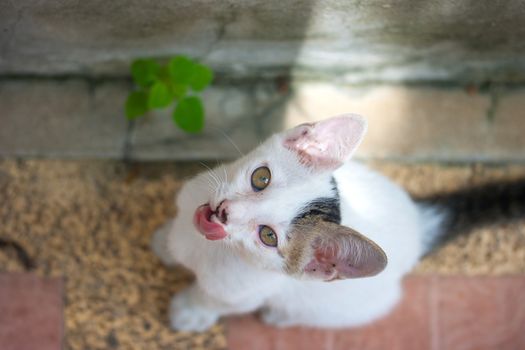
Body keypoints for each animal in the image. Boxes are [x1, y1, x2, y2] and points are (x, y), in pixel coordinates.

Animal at [150, 114, 442, 330]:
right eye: (261, 178)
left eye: (268, 236)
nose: (224, 211)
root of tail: (420, 224)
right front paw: (165, 243)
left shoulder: (240, 295)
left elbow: (212, 301)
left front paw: (191, 312)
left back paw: (280, 316)